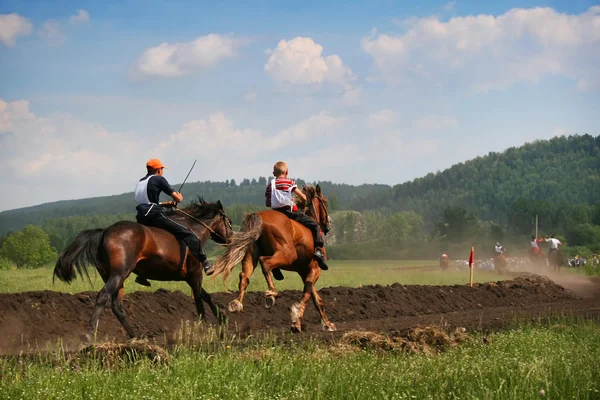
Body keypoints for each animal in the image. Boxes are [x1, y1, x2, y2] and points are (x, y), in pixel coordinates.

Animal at [54, 198, 233, 342]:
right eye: (229, 222)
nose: (231, 239)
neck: (194, 230)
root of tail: (104, 232)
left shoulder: (189, 277)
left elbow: (206, 296)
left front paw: (222, 317)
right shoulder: (195, 274)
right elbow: (199, 303)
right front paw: (205, 330)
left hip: (113, 277)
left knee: (117, 306)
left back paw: (136, 337)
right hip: (119, 274)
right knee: (103, 296)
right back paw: (89, 334)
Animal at [211, 186, 336, 332]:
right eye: (325, 202)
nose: (329, 223)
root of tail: (259, 217)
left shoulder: (304, 272)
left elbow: (316, 299)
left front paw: (327, 324)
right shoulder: (315, 269)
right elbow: (306, 295)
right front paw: (296, 322)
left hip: (250, 256)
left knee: (244, 276)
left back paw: (237, 303)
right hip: (287, 255)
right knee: (265, 262)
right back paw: (272, 293)